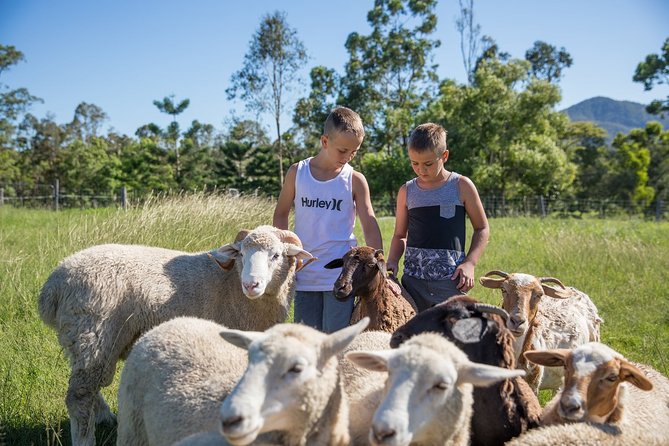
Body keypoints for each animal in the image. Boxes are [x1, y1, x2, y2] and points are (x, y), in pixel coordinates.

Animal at [38, 226, 314, 446]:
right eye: (242, 255)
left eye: (276, 255)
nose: (251, 285)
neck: (230, 283)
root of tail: (53, 286)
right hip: (94, 332)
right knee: (80, 395)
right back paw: (85, 439)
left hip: (84, 338)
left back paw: (105, 417)